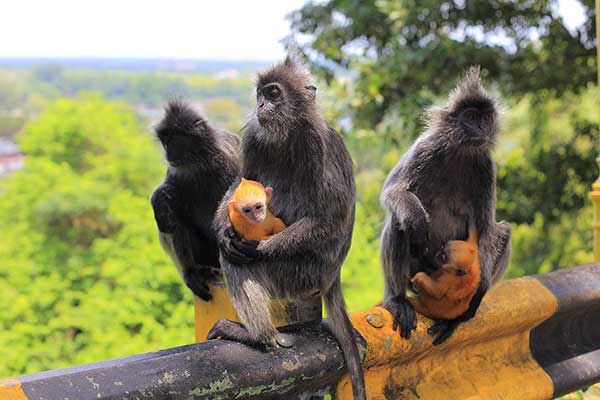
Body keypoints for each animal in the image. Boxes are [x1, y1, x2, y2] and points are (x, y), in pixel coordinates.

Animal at [150, 100, 241, 300]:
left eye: (176, 139)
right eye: (165, 141)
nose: (168, 153)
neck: (198, 164)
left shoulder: (228, 161)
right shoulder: (177, 171)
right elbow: (167, 196)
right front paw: (158, 198)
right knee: (173, 216)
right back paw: (192, 272)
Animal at [206, 57, 366, 400]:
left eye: (274, 93)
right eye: (260, 94)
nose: (261, 104)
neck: (288, 133)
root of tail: (331, 277)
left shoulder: (318, 143)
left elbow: (330, 219)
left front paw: (257, 247)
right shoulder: (255, 136)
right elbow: (239, 183)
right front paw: (224, 231)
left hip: (300, 274)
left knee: (238, 262)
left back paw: (259, 337)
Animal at [382, 68, 512, 344]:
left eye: (486, 118)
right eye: (471, 117)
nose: (481, 127)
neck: (461, 151)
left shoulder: (486, 167)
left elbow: (486, 228)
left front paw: (476, 297)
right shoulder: (425, 147)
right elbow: (393, 192)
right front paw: (417, 219)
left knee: (505, 230)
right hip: (417, 268)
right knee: (399, 220)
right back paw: (398, 300)